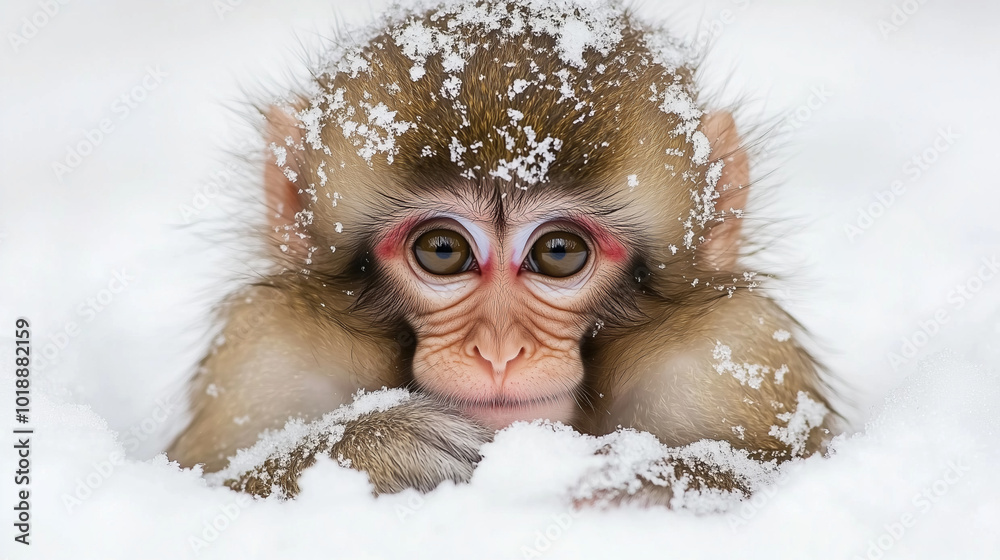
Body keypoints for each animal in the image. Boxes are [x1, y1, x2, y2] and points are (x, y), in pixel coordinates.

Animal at [167, 0, 838, 506]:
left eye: (559, 252)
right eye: (442, 250)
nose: (498, 351)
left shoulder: (736, 350)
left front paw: (630, 483)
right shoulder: (266, 347)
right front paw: (380, 448)